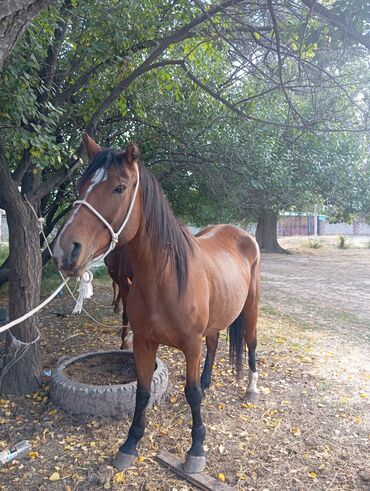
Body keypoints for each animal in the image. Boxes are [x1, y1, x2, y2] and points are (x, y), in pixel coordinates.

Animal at [52, 133, 260, 474]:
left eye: (119, 188)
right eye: (79, 186)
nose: (64, 250)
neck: (165, 279)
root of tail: (241, 233)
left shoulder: (190, 344)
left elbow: (191, 394)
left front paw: (196, 449)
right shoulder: (144, 343)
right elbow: (142, 391)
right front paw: (129, 444)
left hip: (252, 307)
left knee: (251, 344)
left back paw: (252, 389)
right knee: (215, 342)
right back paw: (208, 380)